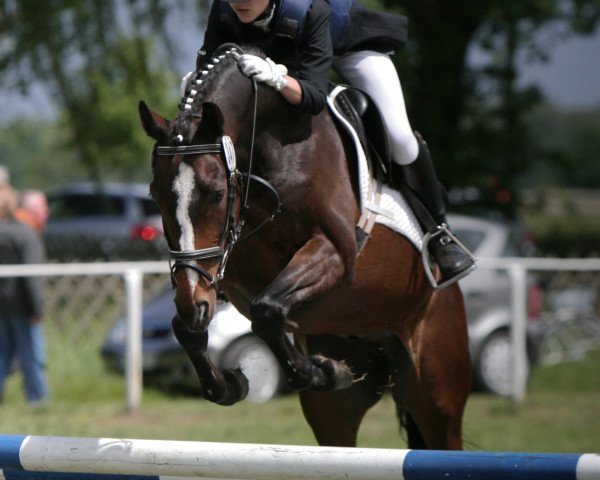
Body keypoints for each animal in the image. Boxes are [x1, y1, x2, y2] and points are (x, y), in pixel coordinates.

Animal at [138, 45, 472, 450]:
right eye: (155, 196)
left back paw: (448, 254)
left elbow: (266, 311)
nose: (193, 303)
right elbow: (189, 325)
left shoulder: (336, 253)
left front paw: (320, 371)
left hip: (438, 392)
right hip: (335, 413)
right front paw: (233, 384)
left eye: (217, 194)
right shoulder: (222, 271)